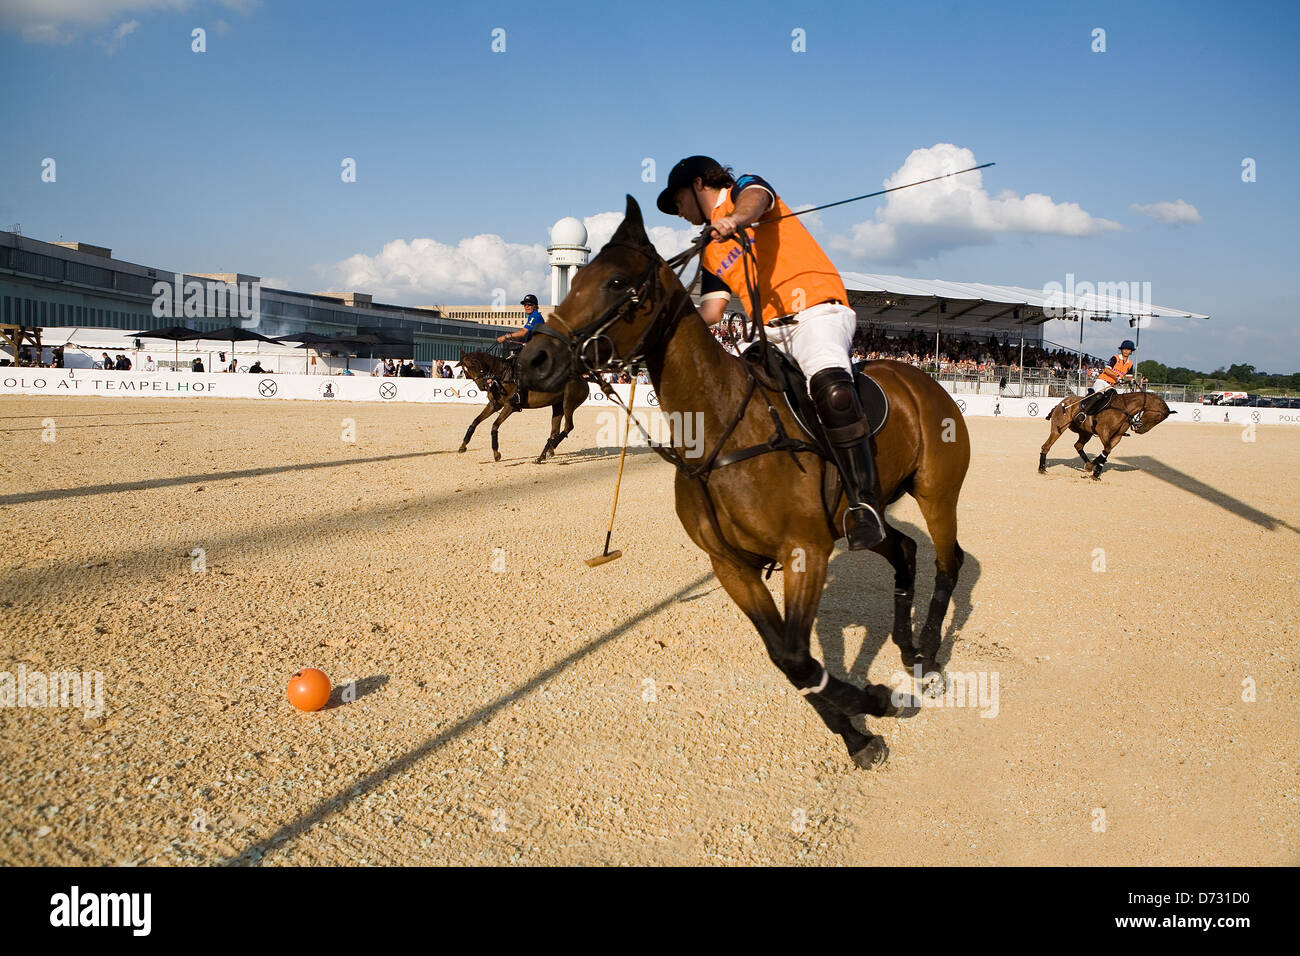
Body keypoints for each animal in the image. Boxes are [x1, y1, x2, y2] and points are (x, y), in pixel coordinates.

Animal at [452, 348, 585, 465]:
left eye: (474, 364)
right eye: (465, 369)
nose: (483, 386)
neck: (502, 377)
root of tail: (583, 379)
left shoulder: (510, 406)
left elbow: (494, 426)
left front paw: (496, 454)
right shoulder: (494, 405)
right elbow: (475, 422)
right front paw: (462, 446)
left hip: (568, 404)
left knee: (568, 426)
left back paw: (550, 449)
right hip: (557, 406)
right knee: (554, 431)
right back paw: (543, 455)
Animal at [512, 196, 972, 770]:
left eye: (617, 282)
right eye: (576, 280)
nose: (533, 359)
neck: (716, 430)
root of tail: (923, 381)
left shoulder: (804, 550)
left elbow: (796, 654)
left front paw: (873, 703)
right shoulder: (731, 565)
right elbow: (786, 658)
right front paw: (858, 732)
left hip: (937, 493)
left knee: (949, 562)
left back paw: (928, 661)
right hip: (863, 516)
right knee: (905, 549)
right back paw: (908, 651)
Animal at [1040, 387, 1175, 478]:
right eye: (1157, 418)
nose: (1141, 430)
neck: (1124, 408)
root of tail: (1061, 403)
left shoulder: (1117, 436)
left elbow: (1106, 451)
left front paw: (1094, 471)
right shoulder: (1103, 431)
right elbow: (1107, 449)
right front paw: (1093, 468)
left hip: (1086, 433)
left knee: (1078, 445)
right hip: (1058, 428)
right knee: (1046, 446)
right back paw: (1042, 469)